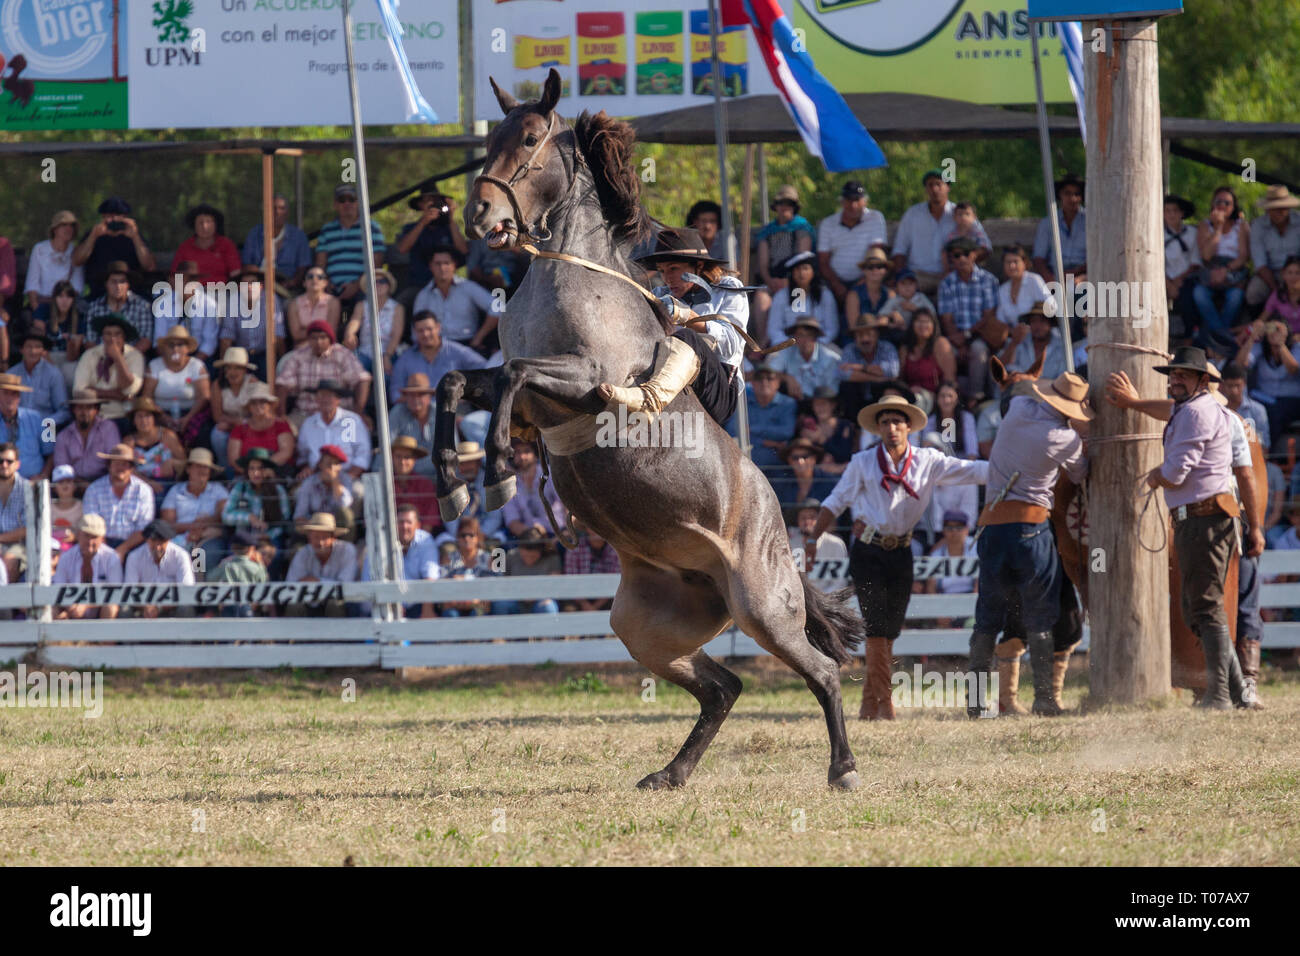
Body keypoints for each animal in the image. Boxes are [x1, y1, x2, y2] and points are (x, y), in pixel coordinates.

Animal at [433, 68, 865, 790]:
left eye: (530, 138)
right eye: (489, 141)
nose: (480, 215)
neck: (570, 280)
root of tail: (780, 532)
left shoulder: (589, 385)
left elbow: (514, 375)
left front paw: (493, 473)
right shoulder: (530, 402)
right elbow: (457, 383)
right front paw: (451, 484)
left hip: (763, 609)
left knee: (823, 671)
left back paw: (844, 770)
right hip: (647, 626)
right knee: (722, 687)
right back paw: (671, 772)